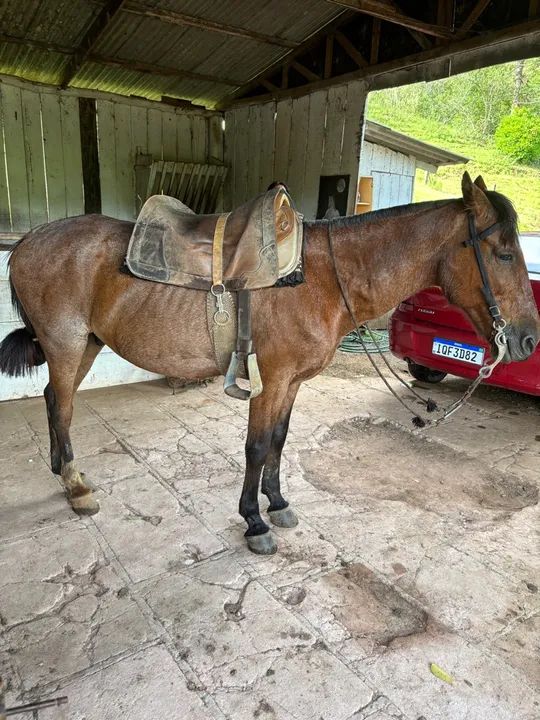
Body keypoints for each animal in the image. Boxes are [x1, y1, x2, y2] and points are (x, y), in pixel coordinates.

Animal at [0, 172, 538, 554]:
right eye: (504, 253)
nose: (528, 338)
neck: (321, 277)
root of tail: (26, 242)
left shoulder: (292, 382)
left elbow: (278, 440)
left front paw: (276, 503)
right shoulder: (271, 379)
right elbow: (257, 447)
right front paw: (254, 521)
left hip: (86, 344)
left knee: (53, 399)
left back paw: (61, 470)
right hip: (66, 344)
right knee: (63, 405)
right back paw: (75, 486)